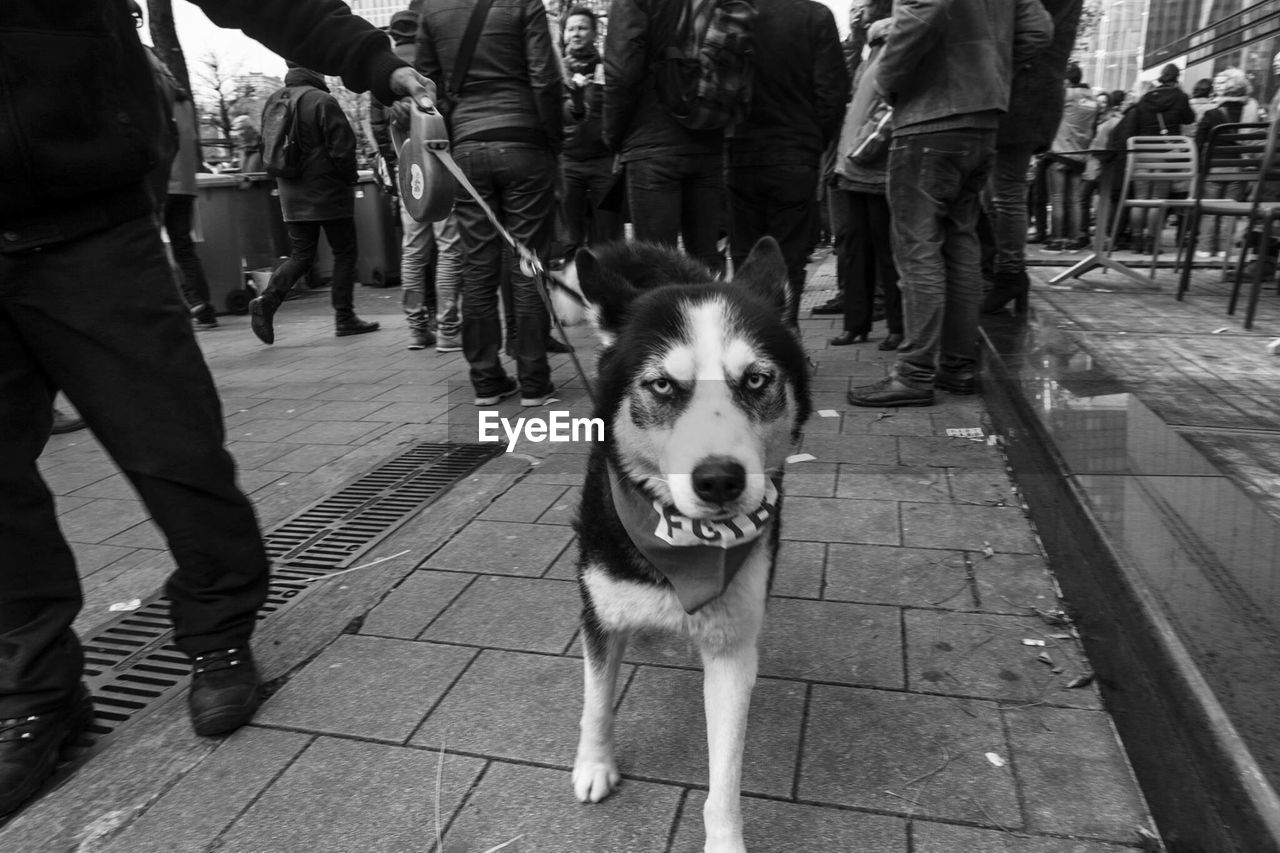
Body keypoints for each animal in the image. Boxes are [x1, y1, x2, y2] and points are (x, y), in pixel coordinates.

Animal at [570, 235, 808, 845]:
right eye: (662, 384)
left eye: (756, 380)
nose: (719, 479)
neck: (682, 548)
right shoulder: (599, 612)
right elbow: (597, 698)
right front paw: (594, 763)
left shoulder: (733, 649)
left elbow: (725, 774)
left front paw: (724, 840)